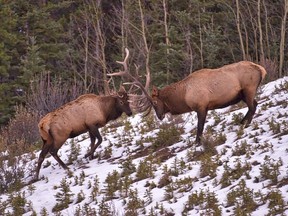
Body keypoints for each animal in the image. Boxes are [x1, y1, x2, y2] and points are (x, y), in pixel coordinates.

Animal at [109, 49, 266, 143]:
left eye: (154, 103)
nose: (159, 116)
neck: (184, 95)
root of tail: (261, 69)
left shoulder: (201, 106)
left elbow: (200, 128)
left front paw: (197, 142)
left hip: (248, 88)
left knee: (252, 107)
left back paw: (245, 124)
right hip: (244, 93)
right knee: (255, 104)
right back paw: (242, 122)